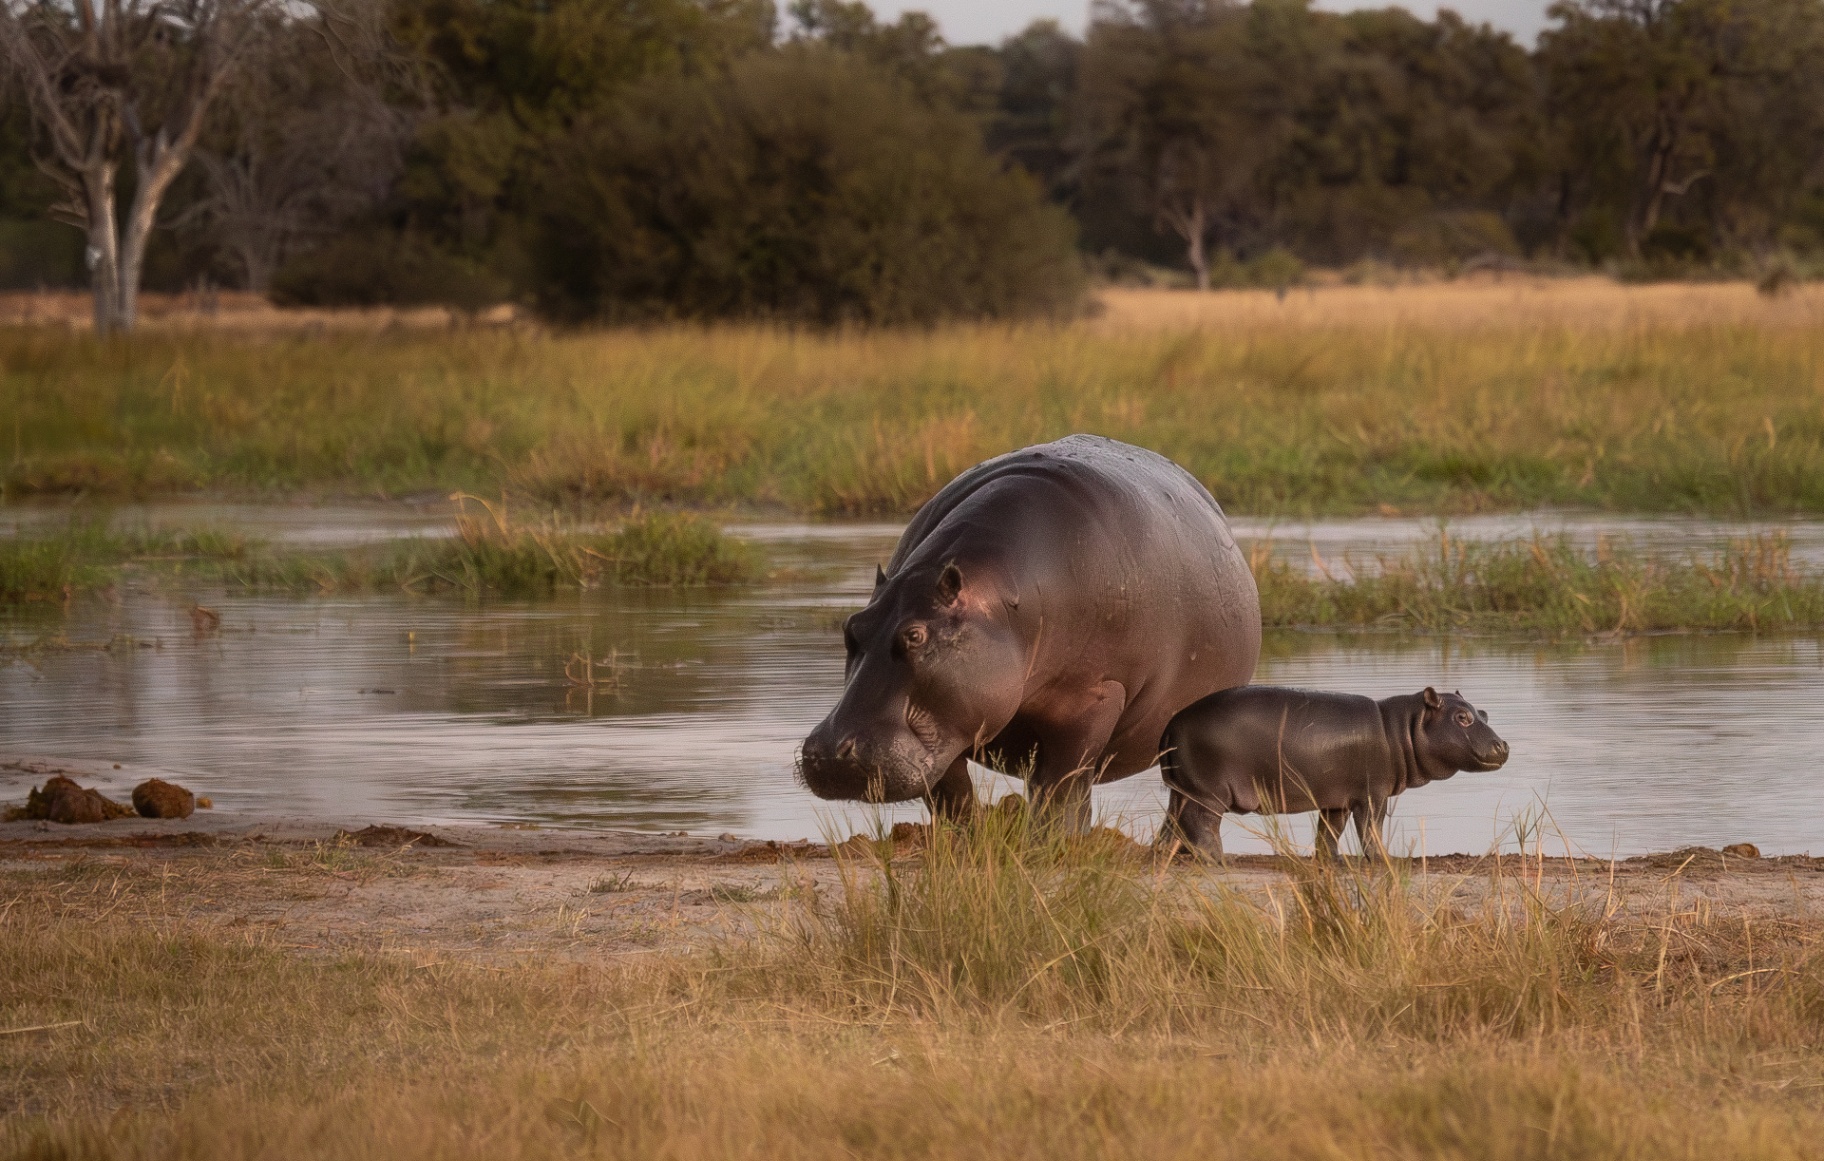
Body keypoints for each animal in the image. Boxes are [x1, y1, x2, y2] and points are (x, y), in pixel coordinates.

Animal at [798, 434, 1261, 829]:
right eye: (851, 628)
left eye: (915, 635)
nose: (828, 753)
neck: (1000, 604)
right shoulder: (952, 718)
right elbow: (951, 795)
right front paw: (969, 840)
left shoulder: (1094, 697)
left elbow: (1060, 790)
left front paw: (1051, 842)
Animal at [1158, 686, 1509, 860]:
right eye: (1462, 717)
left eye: (1483, 713)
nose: (1503, 745)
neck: (1401, 728)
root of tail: (1171, 724)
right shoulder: (1373, 794)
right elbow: (1371, 829)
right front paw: (1386, 860)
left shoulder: (1337, 797)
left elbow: (1329, 830)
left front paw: (1331, 860)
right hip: (1208, 792)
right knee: (1199, 822)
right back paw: (1217, 858)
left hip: (1182, 788)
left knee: (1173, 821)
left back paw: (1165, 856)